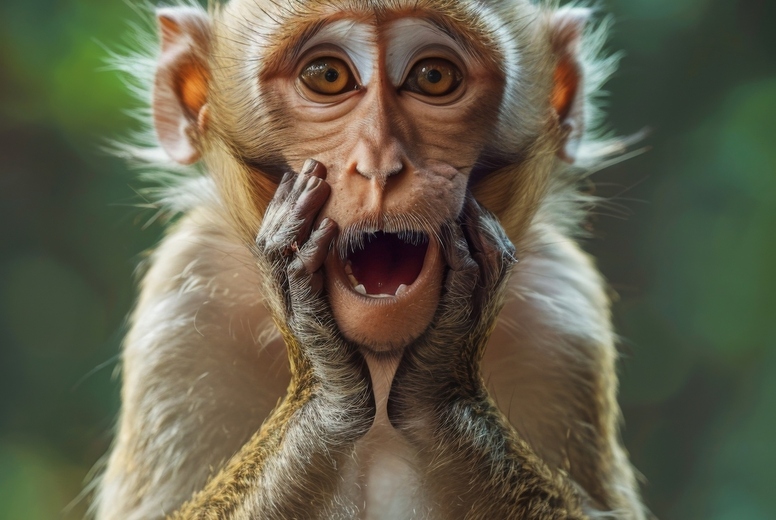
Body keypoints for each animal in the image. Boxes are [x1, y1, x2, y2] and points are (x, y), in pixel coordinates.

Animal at [93, 0, 649, 519]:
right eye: (328, 75)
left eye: (433, 76)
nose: (380, 166)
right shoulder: (184, 307)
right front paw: (325, 375)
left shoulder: (565, 317)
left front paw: (441, 375)